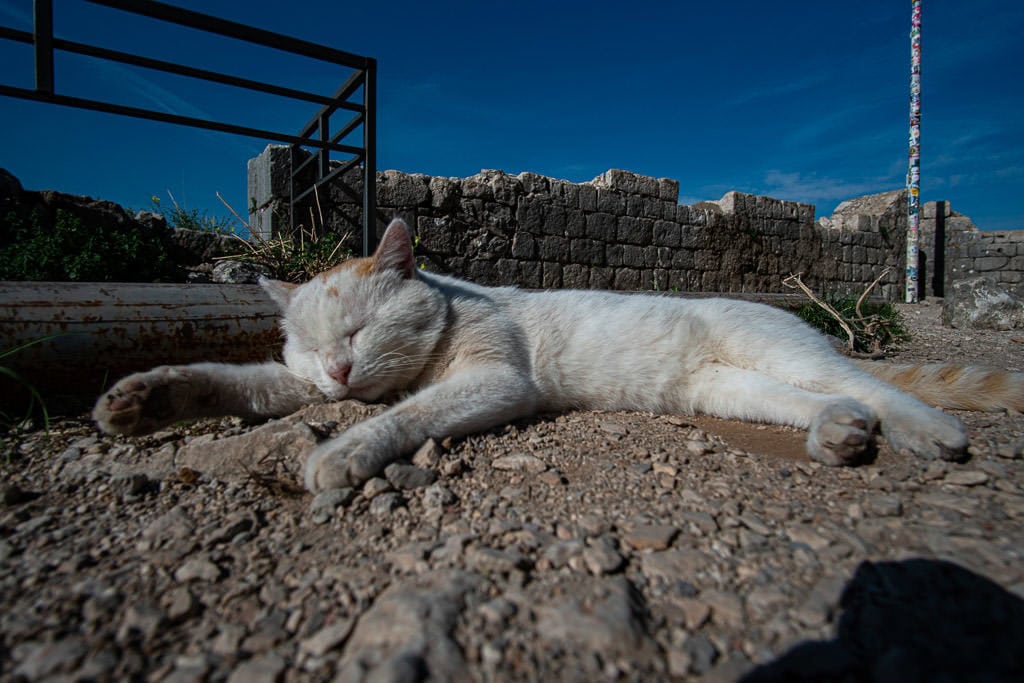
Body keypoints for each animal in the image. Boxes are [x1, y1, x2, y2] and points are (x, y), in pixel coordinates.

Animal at [92, 219, 1019, 491]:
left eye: (356, 335)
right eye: (316, 351)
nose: (341, 374)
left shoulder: (496, 378)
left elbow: (409, 414)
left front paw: (344, 452)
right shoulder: (288, 386)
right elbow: (233, 381)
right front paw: (137, 399)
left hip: (784, 349)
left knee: (873, 383)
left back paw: (928, 434)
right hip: (732, 389)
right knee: (828, 398)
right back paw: (842, 434)